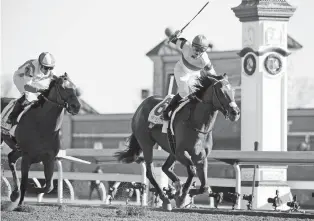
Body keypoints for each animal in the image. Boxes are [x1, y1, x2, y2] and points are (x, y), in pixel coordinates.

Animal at [0, 73, 81, 210]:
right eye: (63, 87)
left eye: (75, 87)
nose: (76, 106)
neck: (43, 125)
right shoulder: (27, 157)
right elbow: (25, 182)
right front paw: (20, 204)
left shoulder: (49, 158)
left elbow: (49, 186)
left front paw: (32, 189)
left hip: (17, 148)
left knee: (11, 158)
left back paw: (14, 194)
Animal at [115, 73, 240, 211]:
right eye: (221, 91)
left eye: (233, 91)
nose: (235, 112)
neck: (197, 123)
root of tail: (141, 106)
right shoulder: (181, 152)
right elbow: (191, 170)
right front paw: (182, 196)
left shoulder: (201, 156)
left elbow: (204, 186)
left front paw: (185, 193)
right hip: (146, 143)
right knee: (150, 172)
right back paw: (166, 199)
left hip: (171, 149)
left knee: (165, 168)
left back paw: (175, 188)